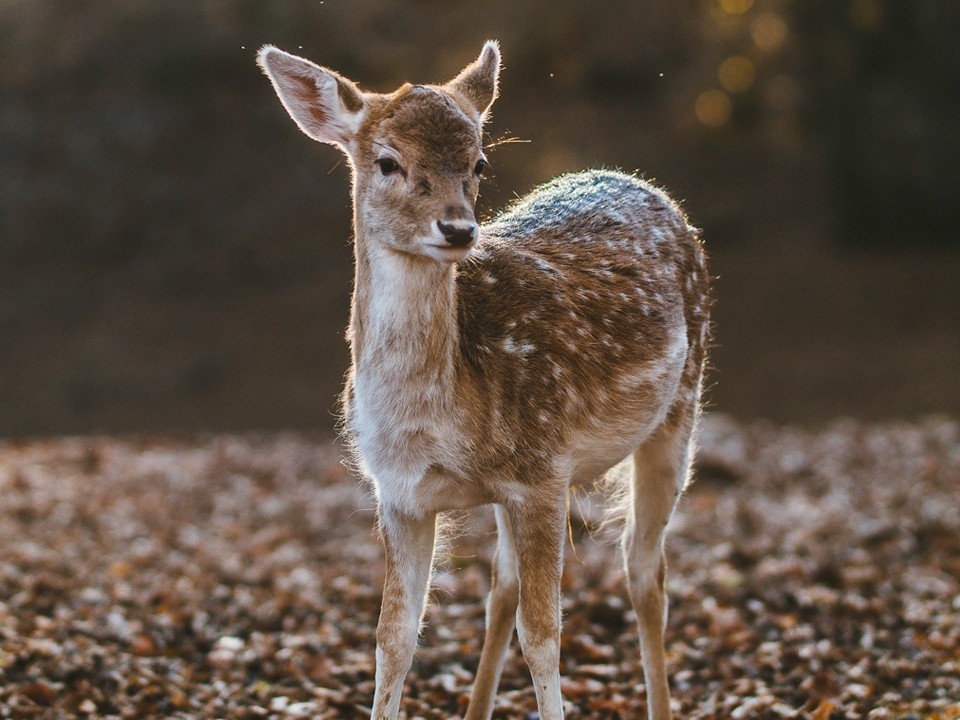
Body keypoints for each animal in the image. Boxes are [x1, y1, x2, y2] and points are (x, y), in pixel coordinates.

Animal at [258, 39, 708, 720]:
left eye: (479, 162)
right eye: (387, 161)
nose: (458, 228)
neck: (434, 420)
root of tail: (643, 185)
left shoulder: (546, 470)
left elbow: (544, 635)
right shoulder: (399, 494)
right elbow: (394, 637)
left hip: (681, 405)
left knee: (643, 571)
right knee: (503, 586)